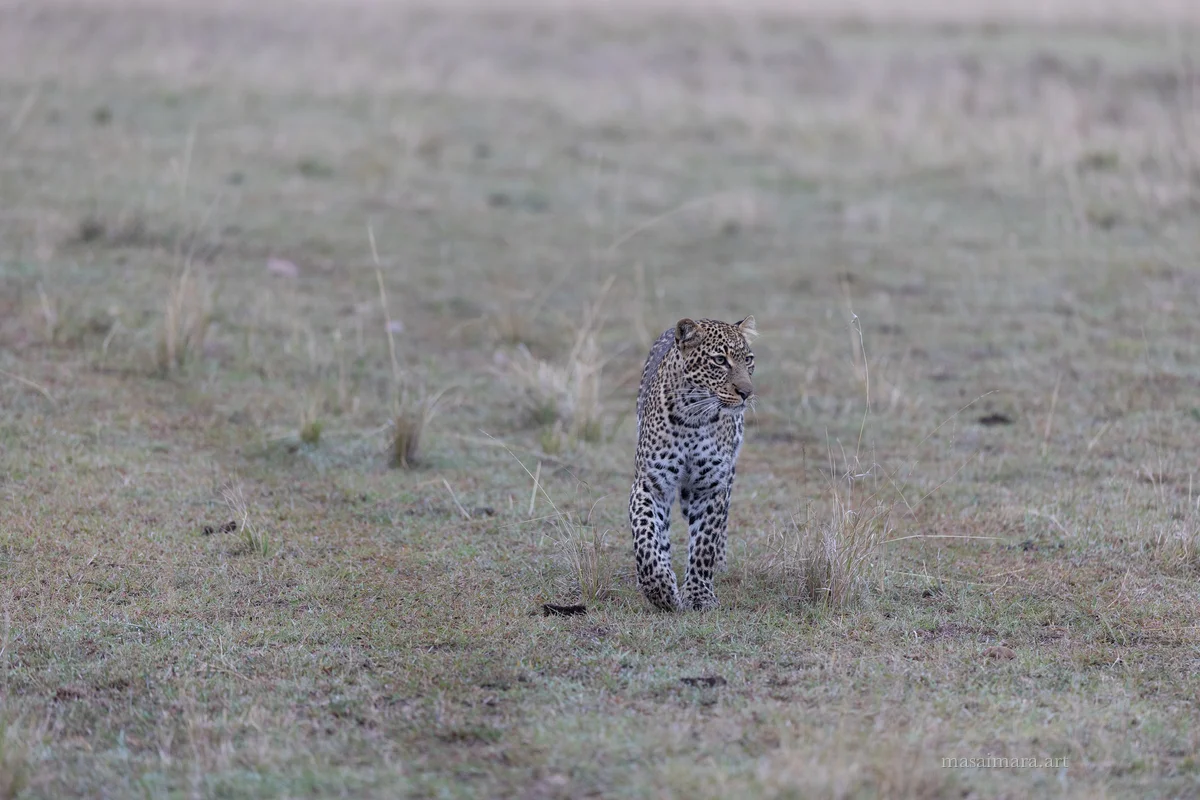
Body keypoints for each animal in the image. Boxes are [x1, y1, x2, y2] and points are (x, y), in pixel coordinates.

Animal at [629, 315, 756, 611]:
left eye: (749, 360)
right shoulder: (650, 484)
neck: (693, 417)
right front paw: (660, 588)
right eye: (720, 360)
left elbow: (704, 544)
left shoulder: (711, 487)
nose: (746, 392)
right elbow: (645, 536)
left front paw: (698, 595)